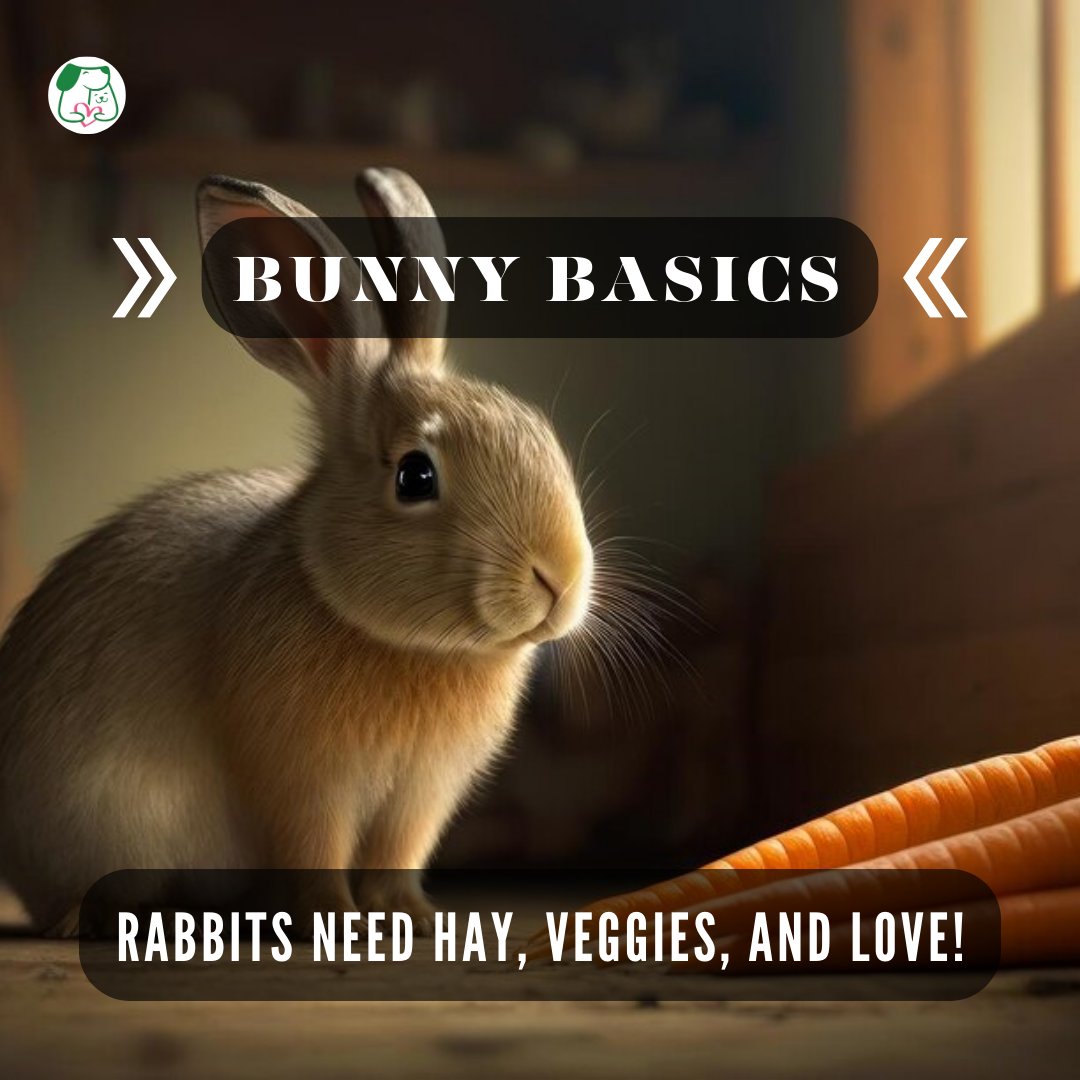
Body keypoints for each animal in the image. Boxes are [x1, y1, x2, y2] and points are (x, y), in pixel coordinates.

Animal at [0, 168, 593, 937]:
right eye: (415, 475)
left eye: (540, 429)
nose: (560, 579)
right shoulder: (304, 778)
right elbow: (314, 843)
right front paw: (332, 919)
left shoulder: (420, 796)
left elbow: (398, 851)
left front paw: (409, 916)